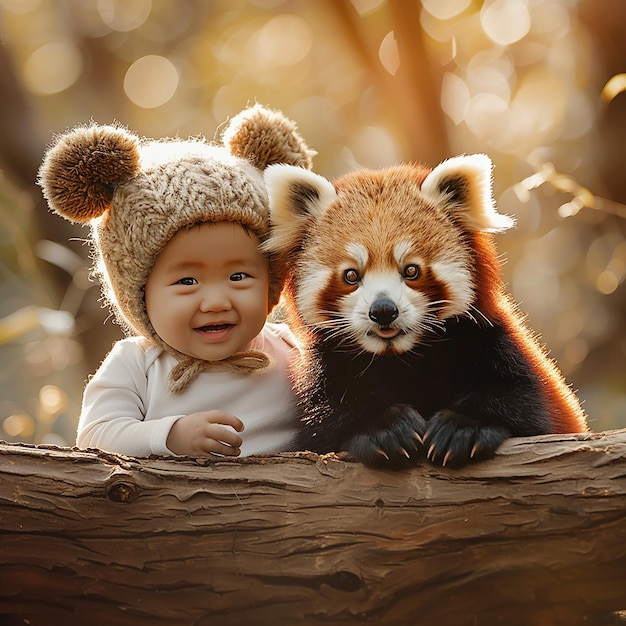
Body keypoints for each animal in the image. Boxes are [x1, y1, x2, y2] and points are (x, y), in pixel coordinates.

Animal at [264, 154, 584, 468]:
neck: (401, 357)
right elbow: (326, 418)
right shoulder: (326, 368)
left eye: (411, 270)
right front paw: (385, 429)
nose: (383, 310)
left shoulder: (492, 341)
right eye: (351, 275)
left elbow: (524, 403)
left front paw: (464, 427)